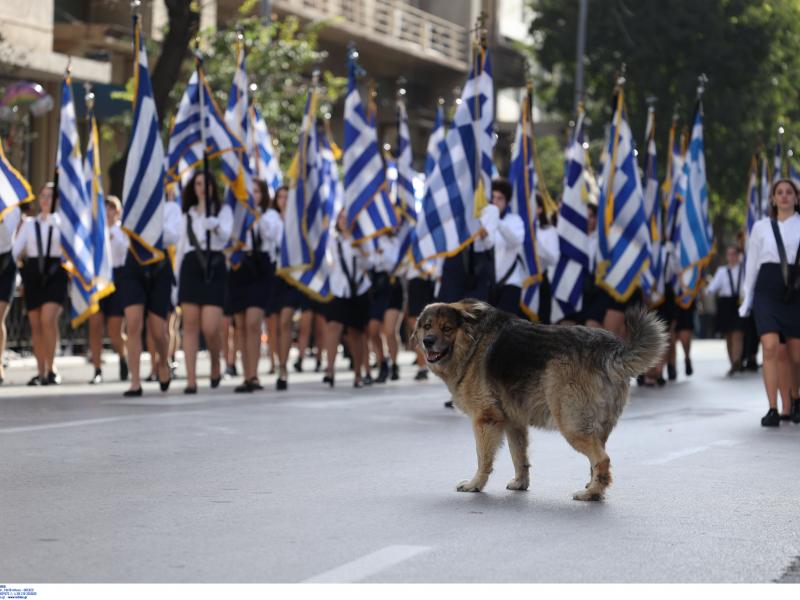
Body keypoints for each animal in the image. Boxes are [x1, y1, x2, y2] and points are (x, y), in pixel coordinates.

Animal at [416, 300, 664, 502]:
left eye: (447, 328)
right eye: (427, 326)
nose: (428, 341)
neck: (471, 339)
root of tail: (610, 349)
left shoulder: (485, 421)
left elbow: (483, 459)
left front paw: (475, 485)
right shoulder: (514, 423)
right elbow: (519, 457)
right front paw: (520, 483)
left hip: (572, 425)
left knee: (602, 459)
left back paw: (591, 494)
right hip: (596, 428)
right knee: (596, 462)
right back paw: (595, 488)